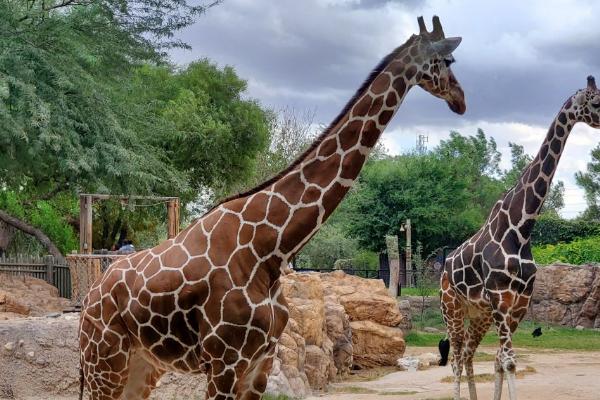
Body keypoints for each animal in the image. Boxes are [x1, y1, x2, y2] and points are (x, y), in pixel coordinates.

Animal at [77, 16, 466, 400]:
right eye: (447, 61)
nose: (460, 99)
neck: (270, 249)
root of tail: (90, 296)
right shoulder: (223, 362)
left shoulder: (259, 363)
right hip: (104, 361)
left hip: (143, 365)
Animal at [438, 76, 600, 400]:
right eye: (597, 102)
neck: (520, 228)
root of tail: (441, 268)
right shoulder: (500, 299)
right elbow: (509, 361)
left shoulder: (519, 303)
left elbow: (501, 360)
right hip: (451, 308)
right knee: (457, 357)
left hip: (479, 314)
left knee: (469, 354)